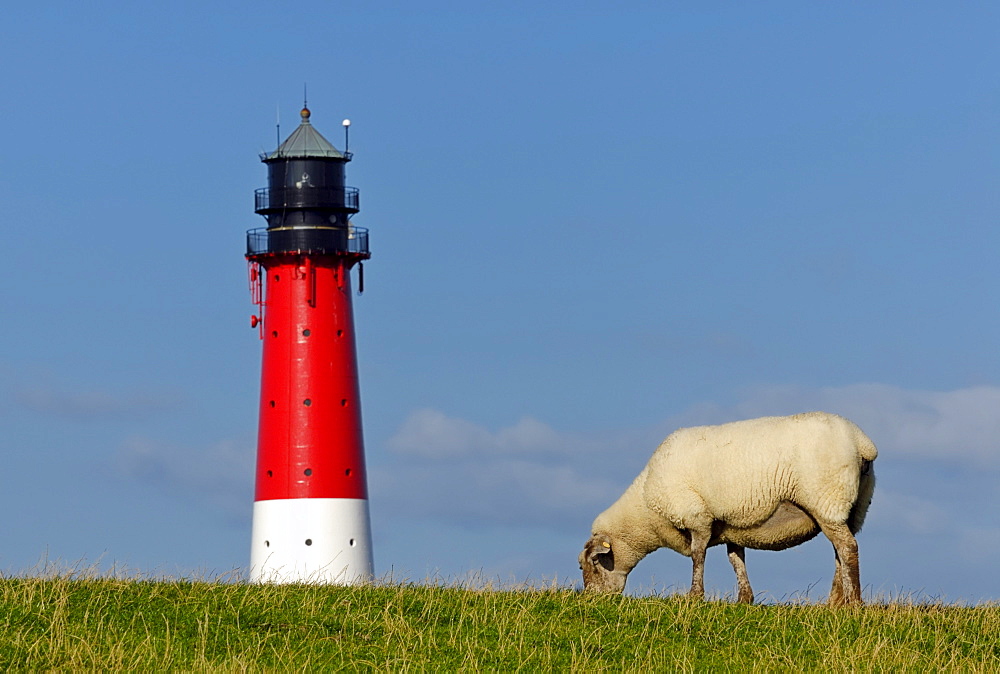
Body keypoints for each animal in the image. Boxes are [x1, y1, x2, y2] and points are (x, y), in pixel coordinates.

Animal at [580, 410, 876, 604]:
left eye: (590, 564)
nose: (591, 598)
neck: (644, 510)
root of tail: (862, 442)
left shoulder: (696, 516)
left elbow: (698, 556)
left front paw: (694, 596)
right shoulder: (732, 527)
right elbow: (736, 560)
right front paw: (744, 599)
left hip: (827, 499)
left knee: (848, 548)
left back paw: (853, 603)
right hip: (854, 507)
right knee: (840, 550)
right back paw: (835, 602)